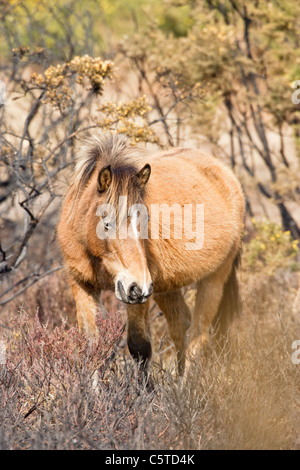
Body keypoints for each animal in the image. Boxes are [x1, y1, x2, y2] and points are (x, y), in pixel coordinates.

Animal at [56, 130, 244, 376]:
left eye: (144, 221)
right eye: (106, 223)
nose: (138, 286)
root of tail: (225, 173)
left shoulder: (139, 296)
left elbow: (139, 346)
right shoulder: (82, 286)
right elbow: (91, 345)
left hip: (214, 279)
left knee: (198, 334)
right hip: (167, 287)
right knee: (180, 326)